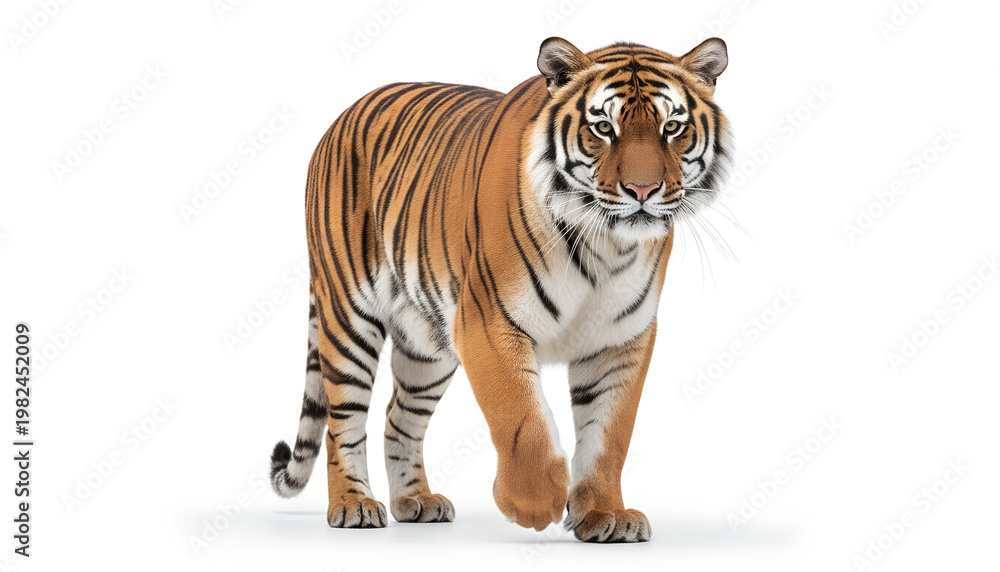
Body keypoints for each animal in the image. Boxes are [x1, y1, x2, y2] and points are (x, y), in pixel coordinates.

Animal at [269, 36, 733, 543]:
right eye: (603, 128)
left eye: (672, 127)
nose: (643, 190)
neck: (606, 246)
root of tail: (341, 116)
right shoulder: (487, 323)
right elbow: (520, 416)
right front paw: (535, 502)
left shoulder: (620, 341)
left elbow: (610, 435)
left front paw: (604, 514)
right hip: (348, 316)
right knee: (343, 422)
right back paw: (353, 505)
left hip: (426, 344)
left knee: (398, 419)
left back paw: (416, 502)